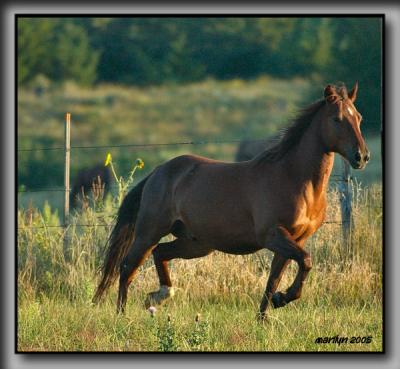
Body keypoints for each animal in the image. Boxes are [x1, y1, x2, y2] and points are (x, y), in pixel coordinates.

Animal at [93, 82, 368, 318]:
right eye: (337, 119)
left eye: (359, 118)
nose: (362, 156)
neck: (294, 179)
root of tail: (157, 172)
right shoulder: (273, 236)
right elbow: (306, 261)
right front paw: (282, 299)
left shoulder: (294, 240)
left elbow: (275, 278)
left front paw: (266, 314)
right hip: (149, 232)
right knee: (127, 267)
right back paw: (122, 314)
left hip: (197, 243)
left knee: (160, 253)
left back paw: (159, 296)